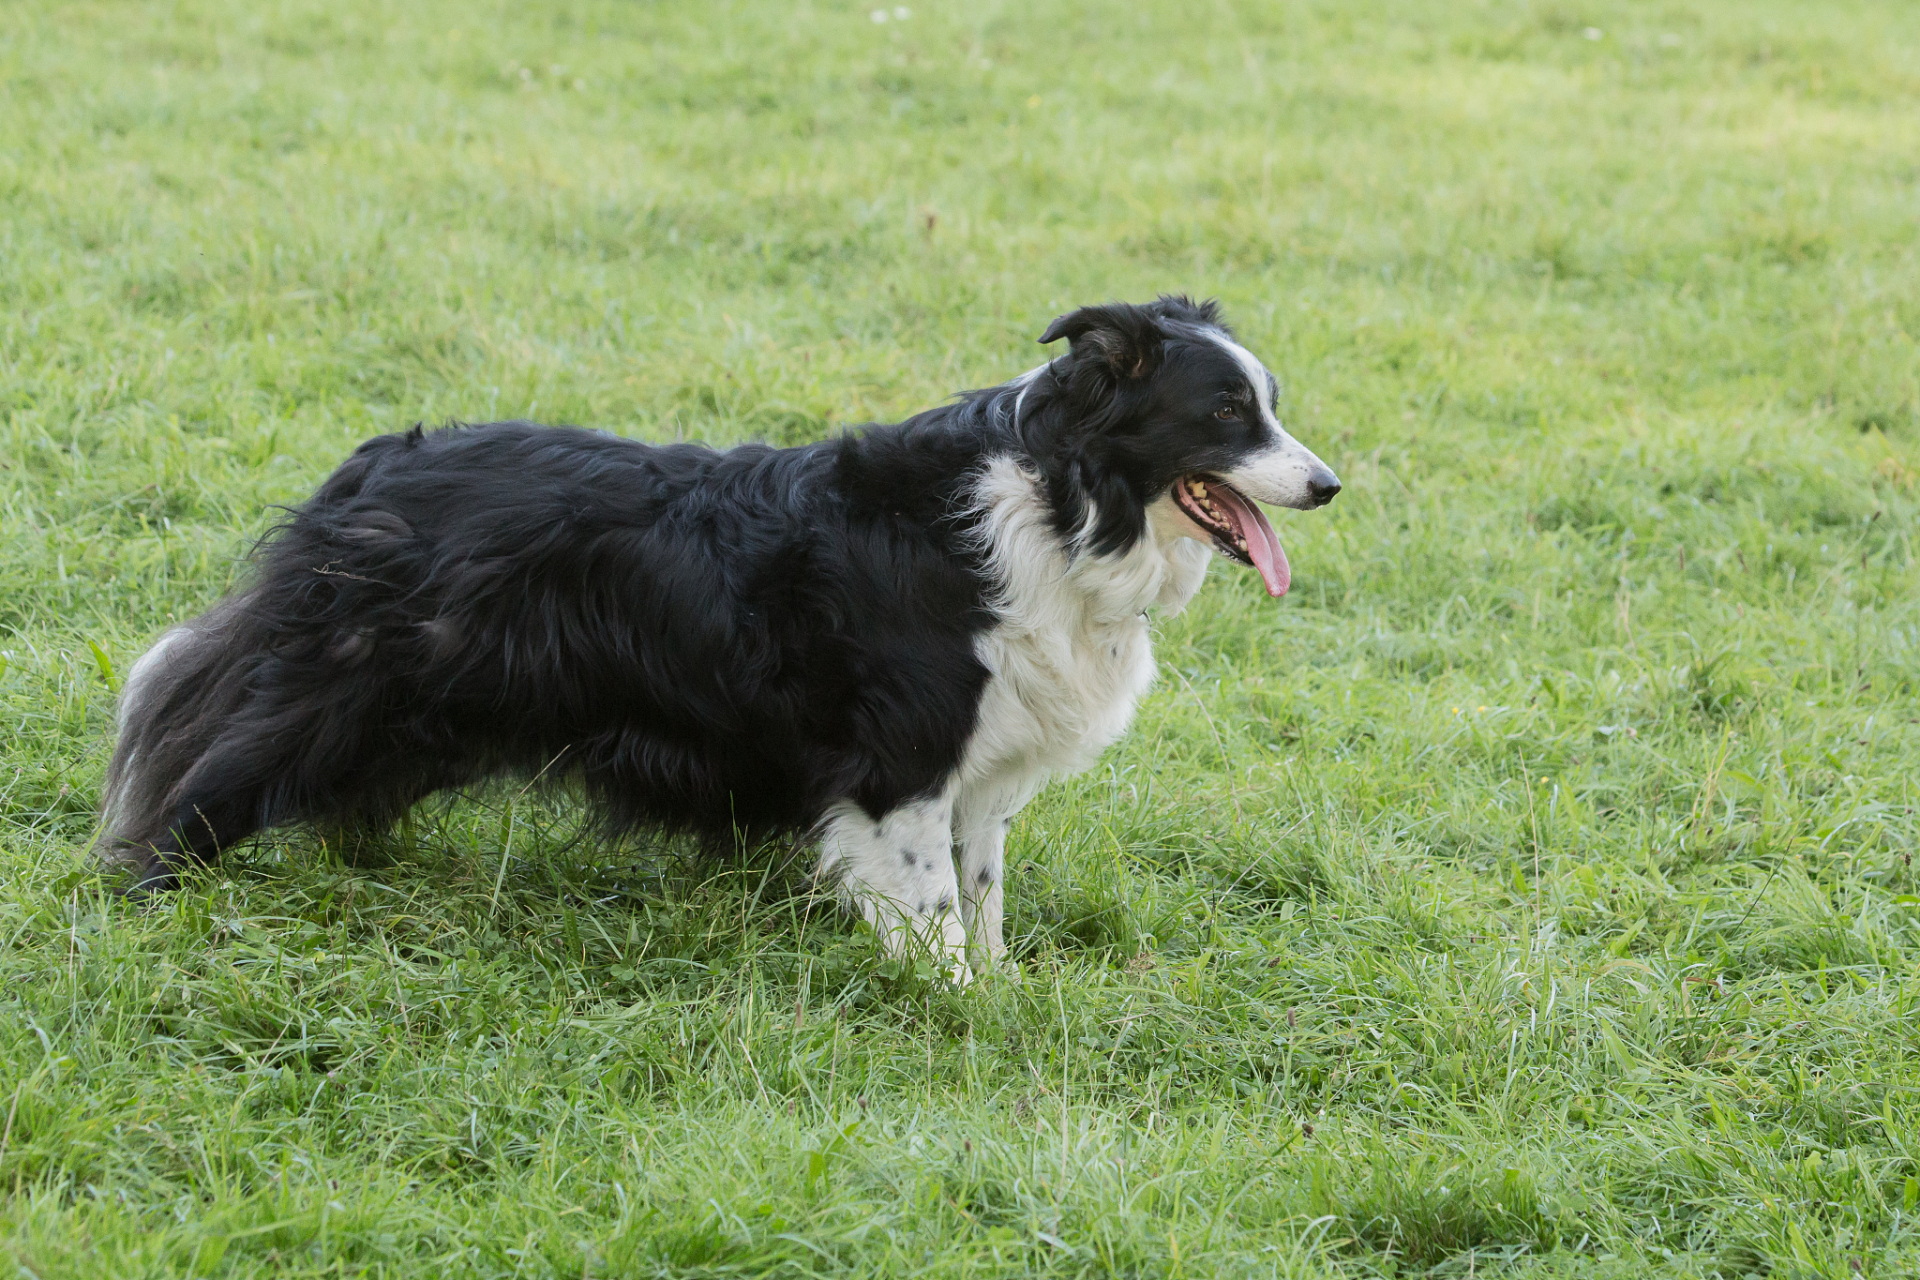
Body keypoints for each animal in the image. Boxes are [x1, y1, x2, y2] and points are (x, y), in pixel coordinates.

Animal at [101, 297, 1336, 982]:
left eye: (1271, 403)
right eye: (1227, 413)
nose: (1328, 484)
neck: (1063, 503)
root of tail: (368, 467)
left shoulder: (985, 770)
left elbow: (982, 894)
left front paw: (1006, 989)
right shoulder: (902, 760)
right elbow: (933, 907)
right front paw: (962, 1010)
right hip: (345, 680)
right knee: (206, 772)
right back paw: (148, 897)